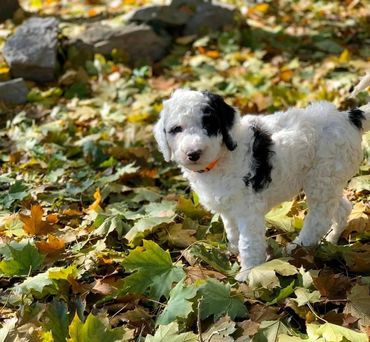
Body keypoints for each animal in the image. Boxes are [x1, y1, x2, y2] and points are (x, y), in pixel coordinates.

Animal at [154, 88, 370, 280]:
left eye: (209, 125)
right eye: (176, 130)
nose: (193, 153)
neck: (222, 157)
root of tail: (347, 117)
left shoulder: (248, 211)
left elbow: (248, 242)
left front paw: (248, 272)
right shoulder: (228, 208)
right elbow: (232, 232)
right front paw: (233, 251)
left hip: (322, 177)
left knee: (319, 218)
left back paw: (297, 247)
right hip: (329, 180)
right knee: (342, 208)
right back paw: (332, 240)